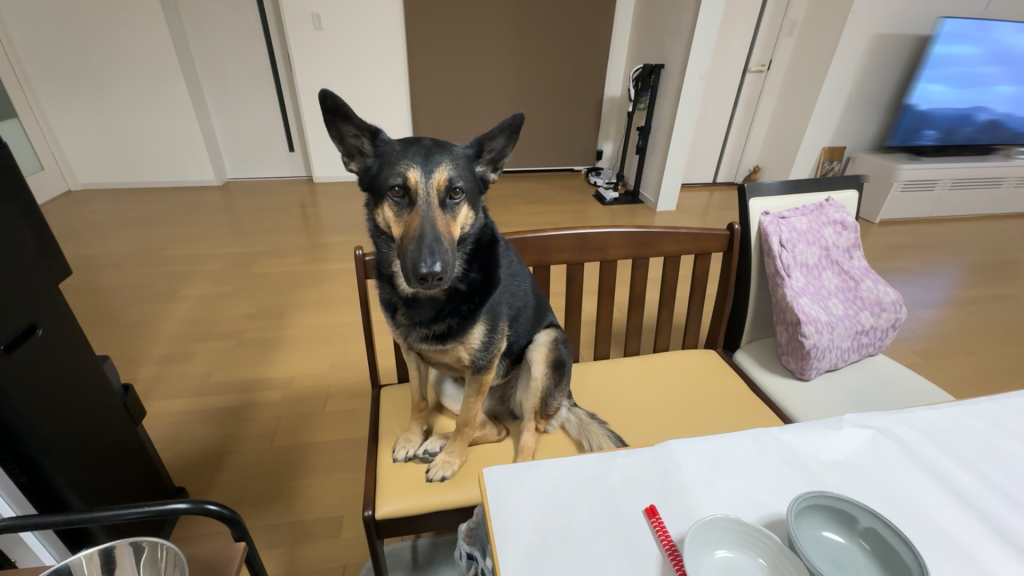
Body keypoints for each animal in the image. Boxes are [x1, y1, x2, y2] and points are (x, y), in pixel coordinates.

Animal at [319, 89, 626, 482]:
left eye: (456, 194)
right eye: (397, 191)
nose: (429, 274)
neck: (431, 301)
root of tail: (564, 401)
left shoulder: (482, 367)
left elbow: (465, 422)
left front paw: (451, 460)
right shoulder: (413, 357)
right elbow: (418, 401)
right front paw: (414, 437)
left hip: (546, 345)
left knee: (525, 432)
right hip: (445, 381)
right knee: (497, 428)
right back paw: (437, 442)